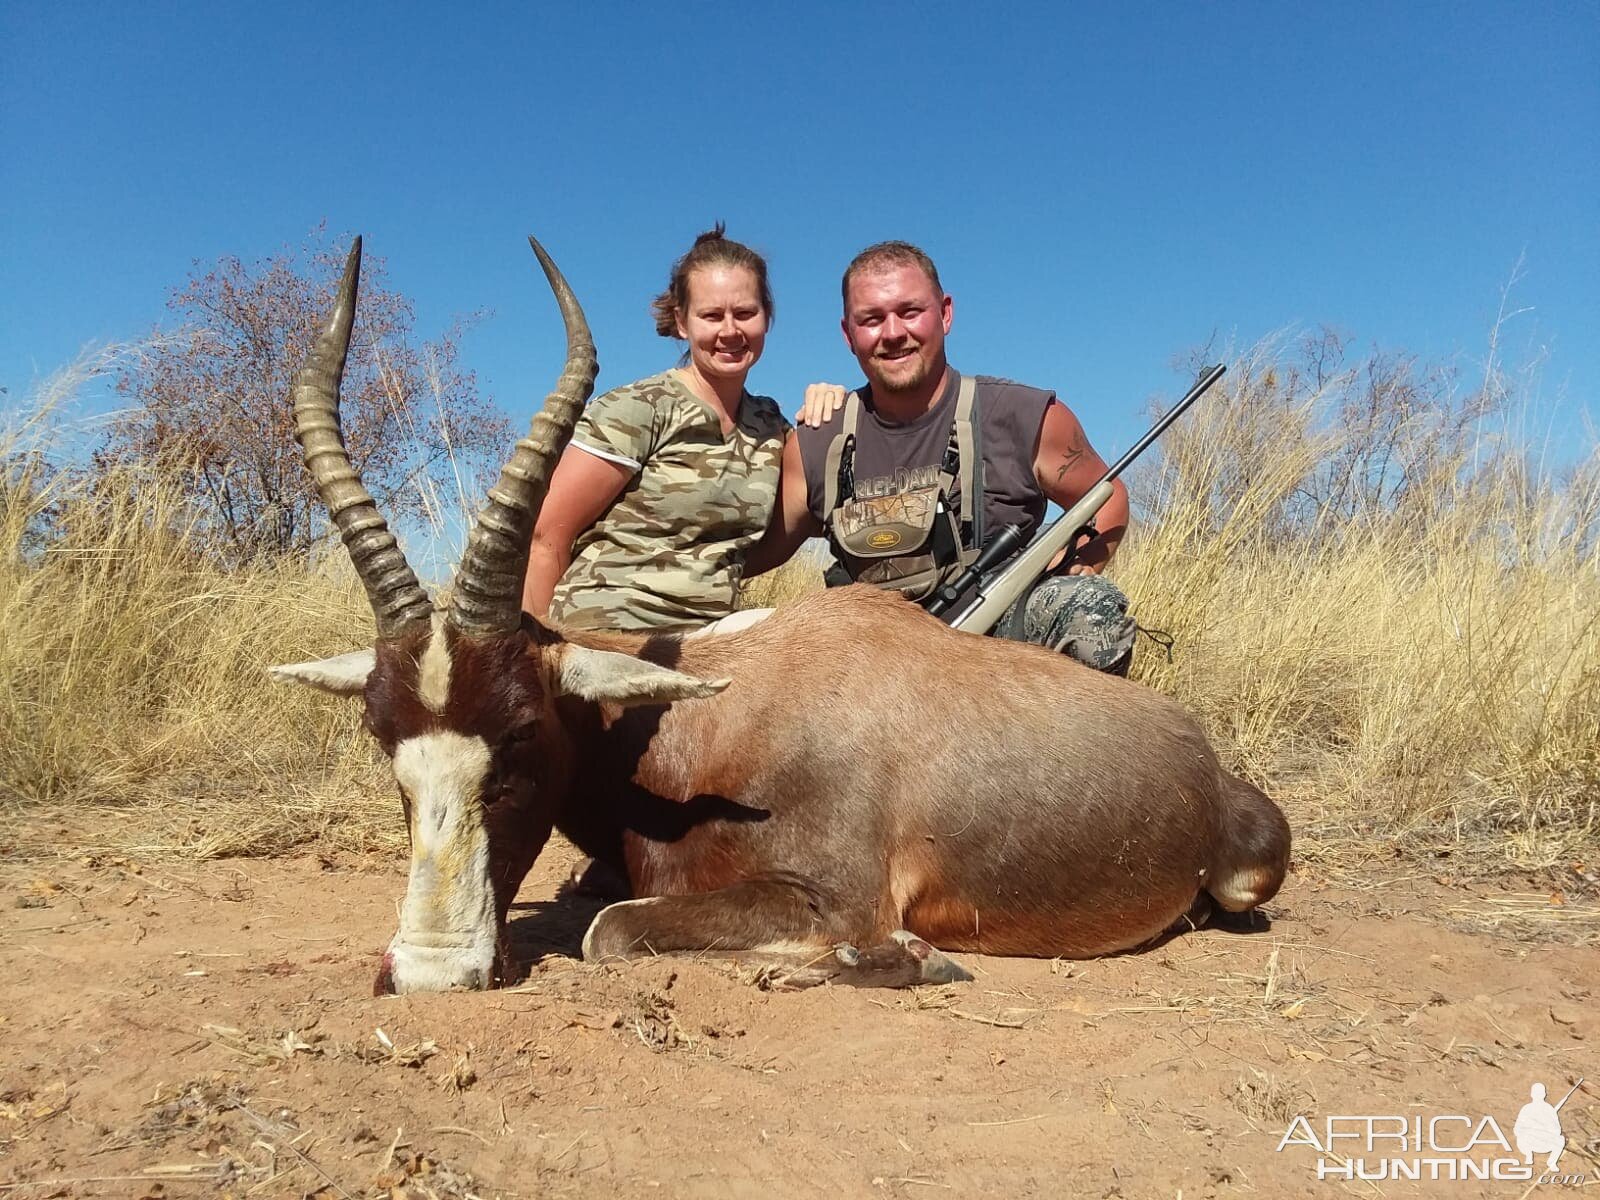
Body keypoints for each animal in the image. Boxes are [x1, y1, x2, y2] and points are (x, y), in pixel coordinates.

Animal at [272, 235, 1286, 998]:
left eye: (521, 729)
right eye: (381, 733)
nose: (431, 973)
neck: (705, 722)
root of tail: (1202, 756)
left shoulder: (838, 897)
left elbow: (609, 929)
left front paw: (909, 960)